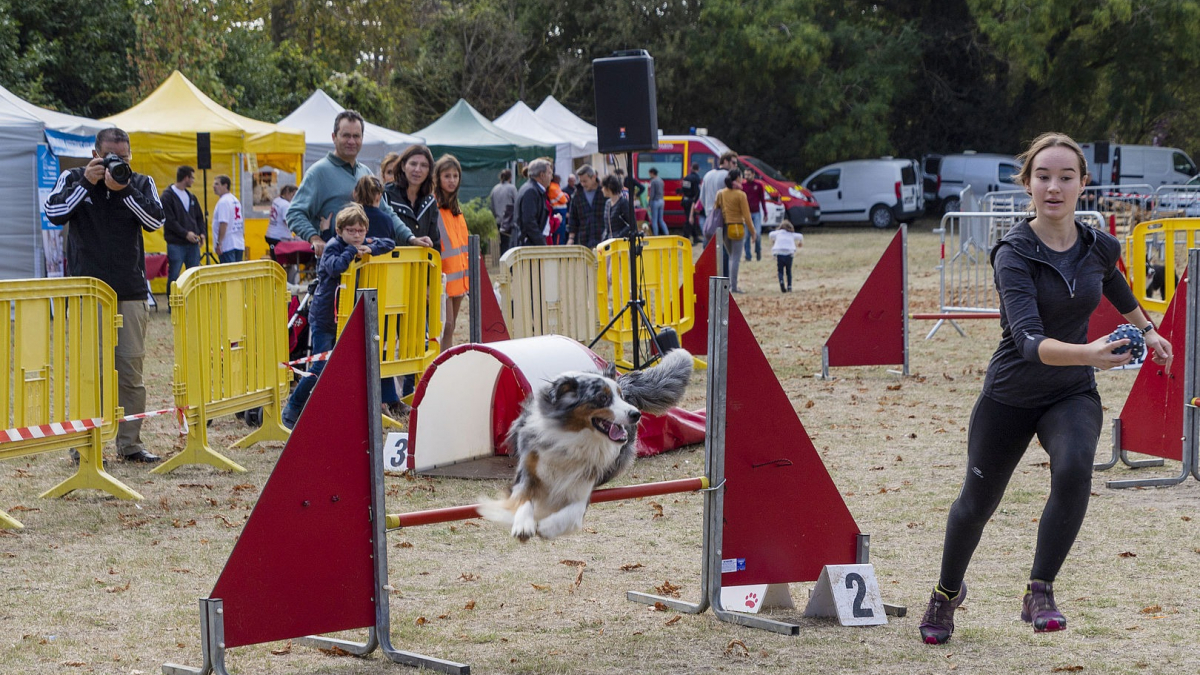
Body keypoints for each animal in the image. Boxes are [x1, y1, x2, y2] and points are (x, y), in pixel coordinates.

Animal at [480, 345, 696, 540]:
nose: (636, 414)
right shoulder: (528, 468)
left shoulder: (584, 480)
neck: (573, 438)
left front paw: (549, 527)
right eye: (602, 397)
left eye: (621, 397)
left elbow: (573, 513)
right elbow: (524, 496)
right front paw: (523, 525)